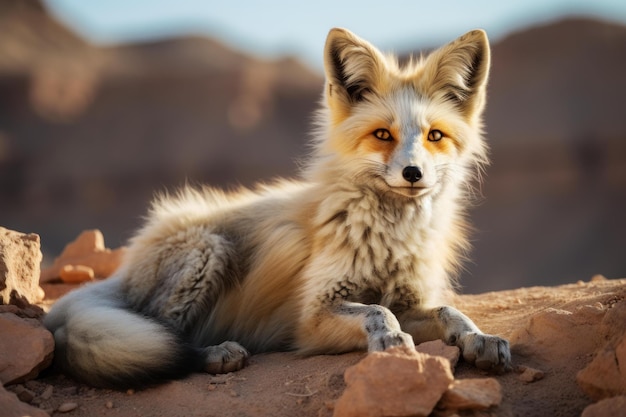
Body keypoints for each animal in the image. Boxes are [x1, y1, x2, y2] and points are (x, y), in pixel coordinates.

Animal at [45, 28, 512, 386]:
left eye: (435, 136)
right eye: (383, 134)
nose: (414, 173)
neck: (390, 240)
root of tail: (125, 268)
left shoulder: (411, 300)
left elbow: (451, 311)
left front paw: (480, 338)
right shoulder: (313, 317)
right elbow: (377, 312)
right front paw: (391, 342)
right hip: (208, 252)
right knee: (164, 337)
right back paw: (213, 354)